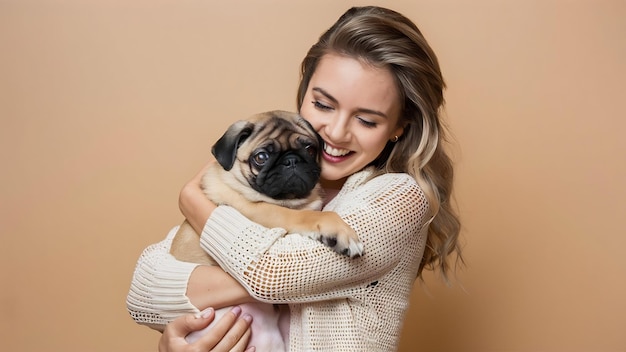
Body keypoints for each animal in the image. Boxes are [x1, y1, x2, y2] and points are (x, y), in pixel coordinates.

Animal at [169, 110, 360, 352]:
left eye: (310, 149)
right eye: (261, 157)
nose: (291, 160)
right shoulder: (260, 210)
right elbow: (308, 216)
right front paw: (339, 231)